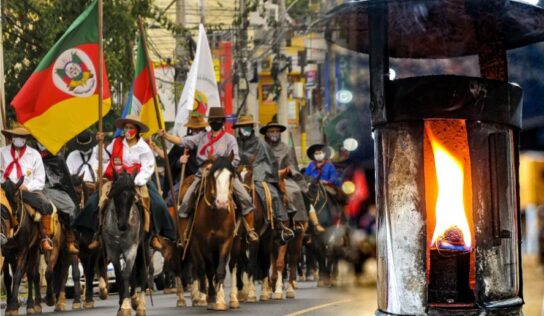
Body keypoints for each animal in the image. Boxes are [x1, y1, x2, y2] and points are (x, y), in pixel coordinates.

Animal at [0, 179, 42, 314]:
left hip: (34, 249)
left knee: (32, 274)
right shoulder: (6, 252)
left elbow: (18, 275)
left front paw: (13, 306)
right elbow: (8, 278)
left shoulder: (23, 249)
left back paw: (33, 305)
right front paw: (10, 305)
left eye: (17, 196)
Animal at [101, 172, 149, 314]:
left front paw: (126, 306)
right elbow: (119, 276)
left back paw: (141, 305)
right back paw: (134, 299)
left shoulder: (131, 248)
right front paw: (122, 303)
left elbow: (126, 273)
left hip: (143, 246)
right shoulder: (112, 251)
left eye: (132, 197)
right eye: (115, 195)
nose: (123, 225)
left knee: (142, 271)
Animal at [189, 157, 236, 310]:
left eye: (231, 176)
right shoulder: (204, 243)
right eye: (212, 177)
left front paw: (220, 300)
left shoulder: (226, 242)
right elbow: (209, 269)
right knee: (200, 267)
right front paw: (210, 296)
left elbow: (220, 269)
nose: (222, 202)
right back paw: (202, 296)